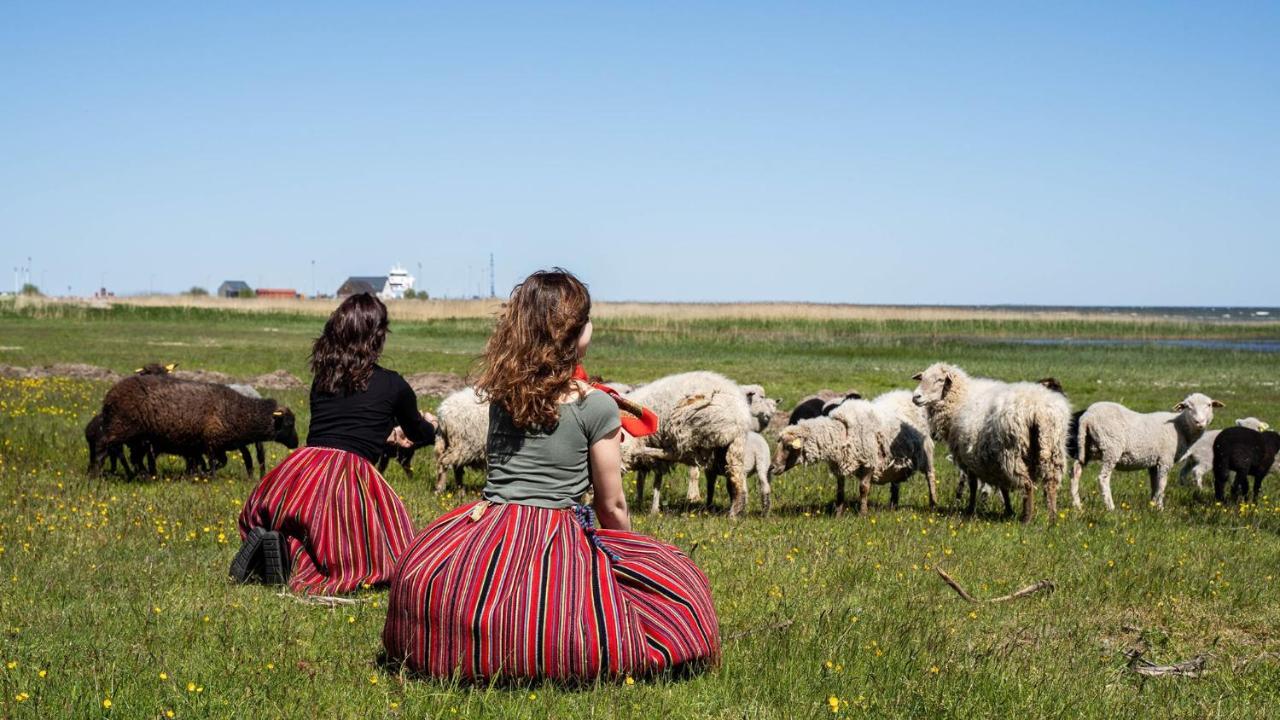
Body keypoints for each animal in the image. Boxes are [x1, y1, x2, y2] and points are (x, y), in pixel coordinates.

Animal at [95, 371, 299, 479]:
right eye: (289, 424)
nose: (296, 444)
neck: (237, 410)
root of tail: (109, 396)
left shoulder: (211, 445)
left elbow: (218, 461)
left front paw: (200, 473)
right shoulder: (211, 442)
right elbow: (215, 463)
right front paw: (207, 475)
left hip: (136, 437)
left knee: (133, 457)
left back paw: (141, 474)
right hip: (122, 428)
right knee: (106, 447)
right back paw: (96, 473)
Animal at [622, 368, 752, 515]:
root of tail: (742, 417)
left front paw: (650, 509)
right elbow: (647, 480)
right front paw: (646, 507)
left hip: (684, 423)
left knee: (676, 453)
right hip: (728, 446)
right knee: (736, 474)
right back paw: (734, 511)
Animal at [762, 389, 936, 512]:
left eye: (789, 447)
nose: (771, 467)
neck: (842, 431)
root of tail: (905, 394)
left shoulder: (869, 462)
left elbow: (864, 489)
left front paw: (863, 513)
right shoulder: (839, 464)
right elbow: (840, 491)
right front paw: (838, 514)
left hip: (926, 452)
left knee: (930, 476)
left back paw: (933, 504)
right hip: (897, 461)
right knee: (895, 484)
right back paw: (893, 506)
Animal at [911, 363, 1070, 520]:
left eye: (939, 380)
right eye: (922, 378)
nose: (916, 397)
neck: (960, 398)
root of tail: (1037, 410)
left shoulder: (969, 458)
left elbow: (973, 485)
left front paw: (970, 510)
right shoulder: (995, 462)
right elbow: (1003, 487)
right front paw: (1008, 511)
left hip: (1012, 453)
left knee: (1027, 485)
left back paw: (1026, 518)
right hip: (1053, 447)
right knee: (1051, 484)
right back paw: (1052, 518)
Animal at [1064, 392, 1223, 509]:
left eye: (1209, 405)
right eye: (1187, 407)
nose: (1199, 422)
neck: (1180, 427)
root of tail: (1087, 416)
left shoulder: (1154, 462)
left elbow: (1155, 484)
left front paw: (1152, 505)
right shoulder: (1165, 459)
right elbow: (1162, 484)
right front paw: (1160, 508)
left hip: (1086, 447)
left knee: (1075, 472)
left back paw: (1077, 505)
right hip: (1111, 447)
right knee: (1103, 478)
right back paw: (1110, 507)